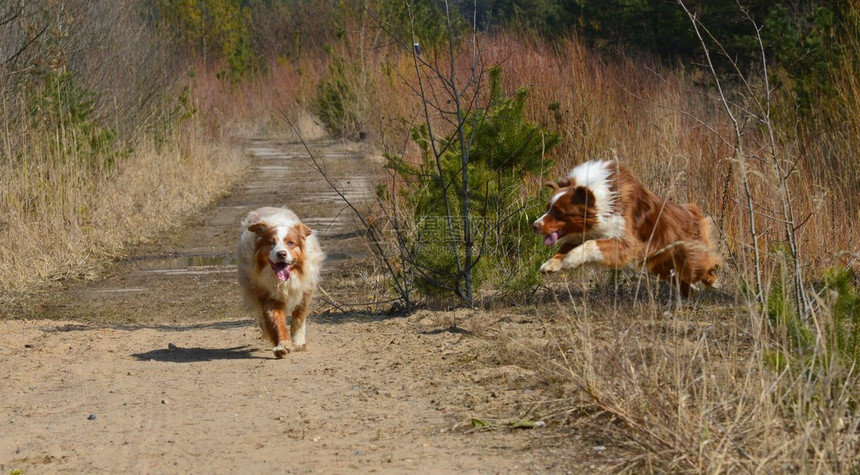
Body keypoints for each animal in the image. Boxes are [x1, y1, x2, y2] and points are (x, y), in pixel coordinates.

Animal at [237, 206, 324, 358]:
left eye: (291, 243)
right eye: (271, 243)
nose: (281, 254)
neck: (285, 281)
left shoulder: (305, 290)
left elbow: (299, 317)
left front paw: (298, 341)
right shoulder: (269, 294)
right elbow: (276, 320)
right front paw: (282, 345)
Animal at [536, 162, 724, 300]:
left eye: (559, 213)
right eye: (548, 208)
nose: (535, 225)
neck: (601, 202)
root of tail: (692, 212)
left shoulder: (625, 242)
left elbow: (590, 245)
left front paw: (570, 260)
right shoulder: (587, 232)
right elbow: (567, 246)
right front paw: (551, 263)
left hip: (687, 255)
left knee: (703, 266)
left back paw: (714, 282)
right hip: (660, 264)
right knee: (679, 280)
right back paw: (690, 292)